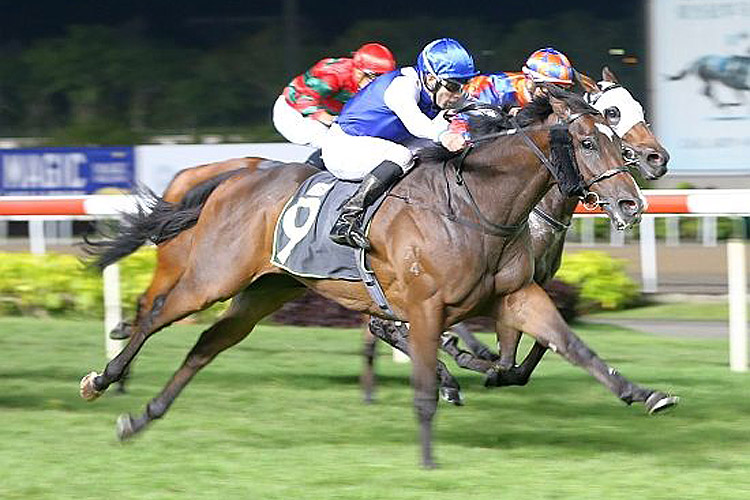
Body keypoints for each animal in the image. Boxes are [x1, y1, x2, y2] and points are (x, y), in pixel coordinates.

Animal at [79, 88, 672, 466]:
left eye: (615, 136)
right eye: (592, 139)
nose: (633, 199)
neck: (478, 203)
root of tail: (231, 178)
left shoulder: (519, 295)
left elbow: (570, 348)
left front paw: (643, 393)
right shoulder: (426, 306)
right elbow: (432, 377)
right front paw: (430, 454)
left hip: (266, 289)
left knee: (207, 344)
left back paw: (143, 416)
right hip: (213, 276)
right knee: (156, 312)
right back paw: (105, 379)